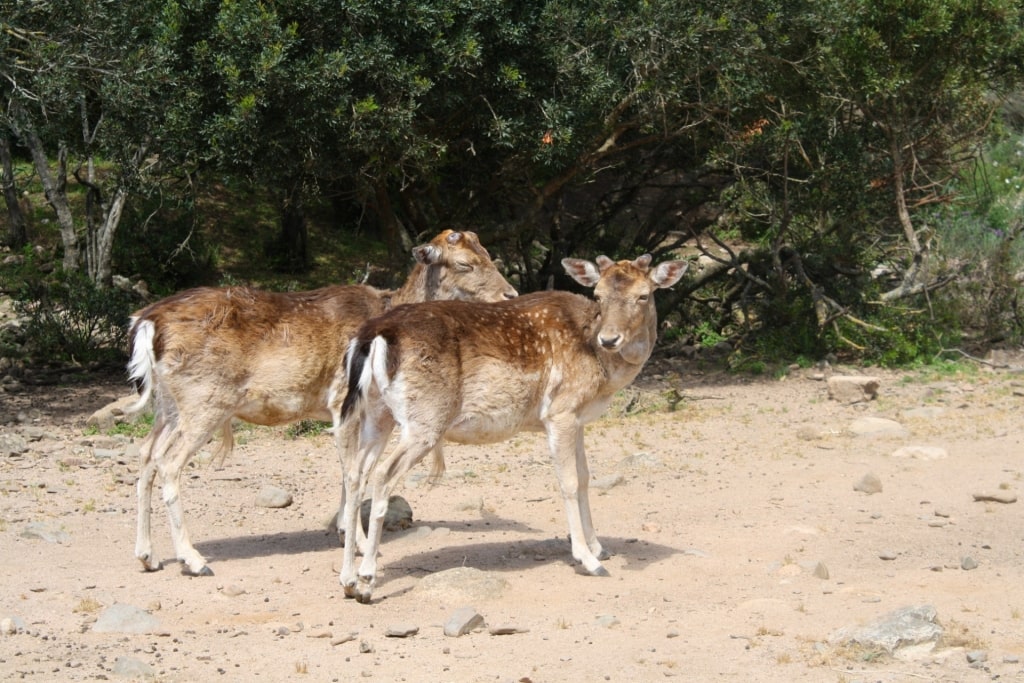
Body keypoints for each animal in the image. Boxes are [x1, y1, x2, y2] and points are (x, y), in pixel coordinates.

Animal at [125, 229, 520, 577]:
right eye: (465, 263)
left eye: (489, 255)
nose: (511, 294)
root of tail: (146, 321)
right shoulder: (342, 399)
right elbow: (353, 470)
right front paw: (356, 540)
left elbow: (354, 470)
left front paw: (346, 532)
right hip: (203, 401)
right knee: (168, 462)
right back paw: (193, 560)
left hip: (167, 405)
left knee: (145, 454)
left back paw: (148, 556)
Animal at [335, 253, 688, 602]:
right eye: (598, 295)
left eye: (643, 295)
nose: (609, 338)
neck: (603, 373)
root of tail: (372, 336)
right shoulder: (559, 411)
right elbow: (569, 482)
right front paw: (588, 559)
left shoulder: (577, 419)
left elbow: (586, 478)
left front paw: (600, 548)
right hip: (425, 418)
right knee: (383, 475)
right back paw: (366, 580)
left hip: (377, 414)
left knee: (355, 473)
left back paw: (348, 580)